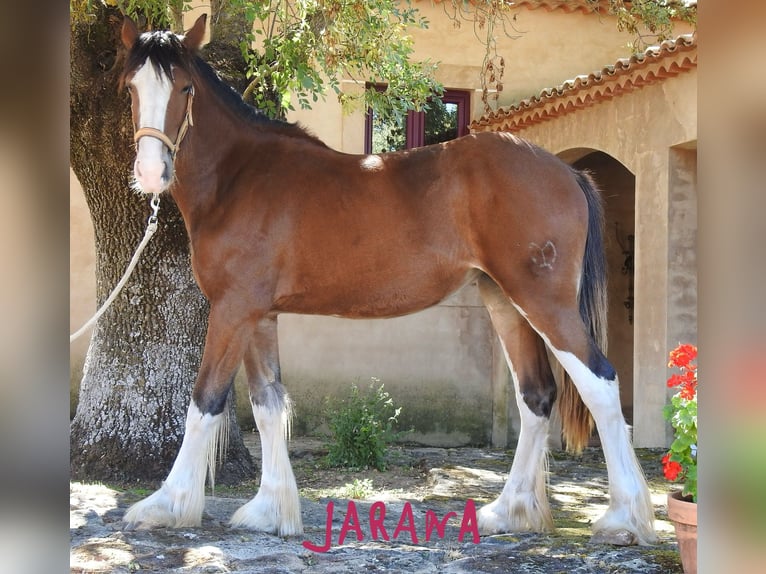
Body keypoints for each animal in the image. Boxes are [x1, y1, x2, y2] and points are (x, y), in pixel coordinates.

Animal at [117, 12, 656, 544]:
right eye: (130, 87)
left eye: (184, 87)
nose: (151, 172)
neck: (241, 176)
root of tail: (567, 170)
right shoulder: (259, 314)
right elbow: (269, 404)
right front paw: (270, 511)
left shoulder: (233, 308)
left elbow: (204, 401)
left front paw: (166, 505)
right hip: (505, 301)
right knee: (536, 397)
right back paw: (508, 512)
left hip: (543, 301)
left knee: (600, 385)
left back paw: (624, 519)